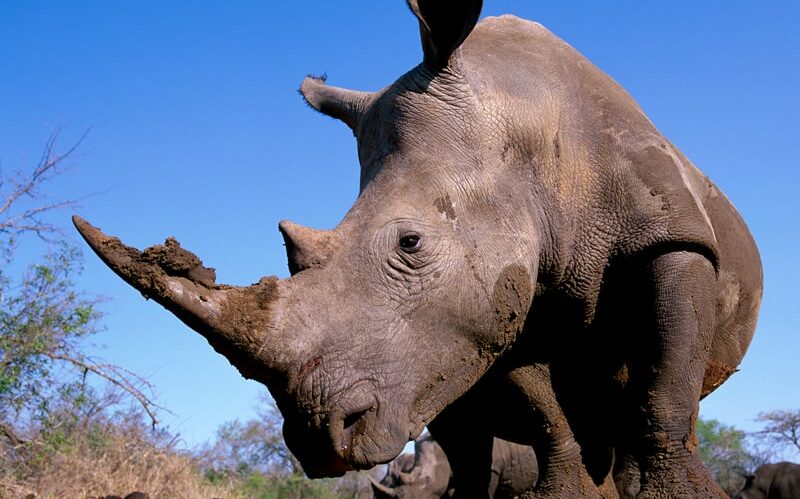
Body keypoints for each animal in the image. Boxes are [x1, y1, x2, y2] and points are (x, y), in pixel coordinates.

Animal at [75, 1, 764, 498]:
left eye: (411, 243)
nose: (318, 436)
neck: (521, 121)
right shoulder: (493, 303)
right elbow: (541, 407)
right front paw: (562, 497)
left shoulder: (669, 234)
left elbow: (669, 368)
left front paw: (676, 495)